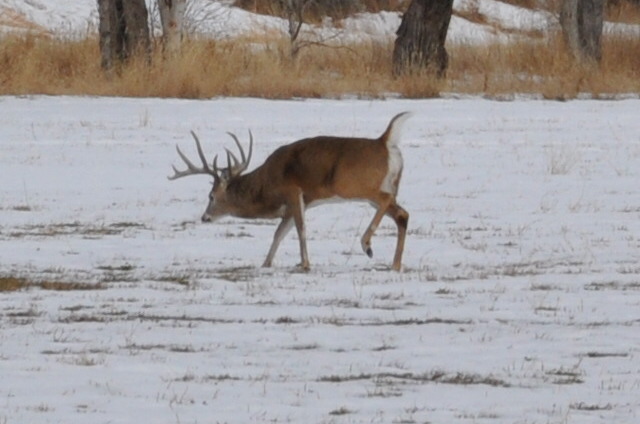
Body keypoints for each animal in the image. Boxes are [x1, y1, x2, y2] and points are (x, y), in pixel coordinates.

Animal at [169, 112, 410, 272]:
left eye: (211, 196)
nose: (205, 217)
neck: (266, 185)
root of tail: (385, 142)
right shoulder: (293, 205)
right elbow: (279, 233)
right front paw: (266, 263)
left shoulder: (293, 192)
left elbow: (300, 229)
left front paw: (304, 263)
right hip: (383, 188)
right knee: (402, 214)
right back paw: (395, 265)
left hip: (354, 186)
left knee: (387, 201)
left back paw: (366, 244)